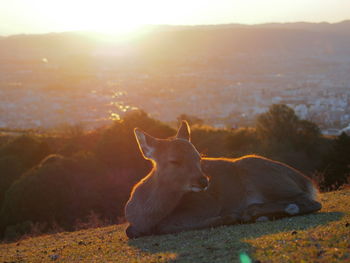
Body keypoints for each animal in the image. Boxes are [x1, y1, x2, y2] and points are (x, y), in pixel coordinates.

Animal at [124, 121, 322, 239]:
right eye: (174, 160)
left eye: (199, 157)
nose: (203, 181)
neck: (145, 215)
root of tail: (306, 181)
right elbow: (129, 231)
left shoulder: (206, 204)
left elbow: (166, 226)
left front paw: (230, 217)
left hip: (266, 177)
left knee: (311, 201)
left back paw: (252, 213)